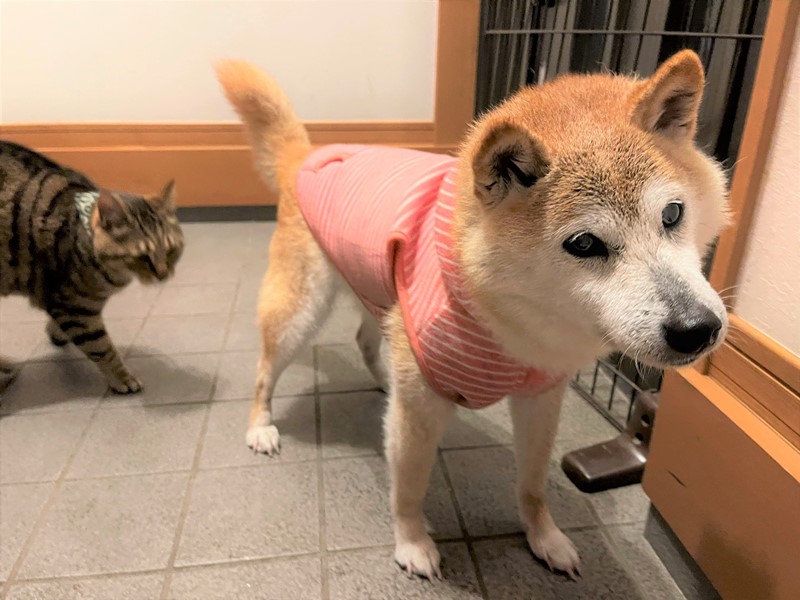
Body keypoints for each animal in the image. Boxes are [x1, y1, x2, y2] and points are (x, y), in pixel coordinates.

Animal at [0, 141, 184, 395]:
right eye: (143, 256)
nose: (163, 275)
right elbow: (101, 347)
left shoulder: (65, 304)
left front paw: (55, 331)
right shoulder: (76, 310)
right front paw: (123, 377)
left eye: (170, 250)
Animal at [215, 49, 728, 580]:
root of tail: (307, 156)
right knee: (266, 371)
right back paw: (260, 425)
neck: (508, 324)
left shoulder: (541, 397)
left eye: (672, 214)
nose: (698, 329)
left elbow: (532, 485)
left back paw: (380, 378)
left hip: (377, 296)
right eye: (585, 243)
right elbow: (409, 488)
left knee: (366, 339)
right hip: (301, 312)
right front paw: (412, 542)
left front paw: (544, 538)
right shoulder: (420, 408)